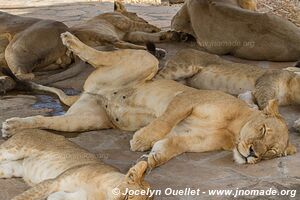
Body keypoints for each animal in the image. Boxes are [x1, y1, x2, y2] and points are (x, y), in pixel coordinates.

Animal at [0, 129, 150, 199]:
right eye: (128, 197)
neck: (101, 192)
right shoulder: (53, 182)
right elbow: (23, 197)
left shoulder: (73, 196)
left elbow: (54, 197)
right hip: (13, 150)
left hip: (12, 168)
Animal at [1, 31, 296, 169]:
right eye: (263, 130)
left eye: (271, 153)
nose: (253, 154)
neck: (233, 130)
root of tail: (89, 92)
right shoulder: (187, 97)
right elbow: (164, 121)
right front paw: (141, 140)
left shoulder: (185, 140)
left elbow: (166, 149)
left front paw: (148, 161)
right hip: (145, 61)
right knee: (99, 54)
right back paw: (70, 40)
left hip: (82, 121)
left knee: (44, 120)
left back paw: (12, 125)